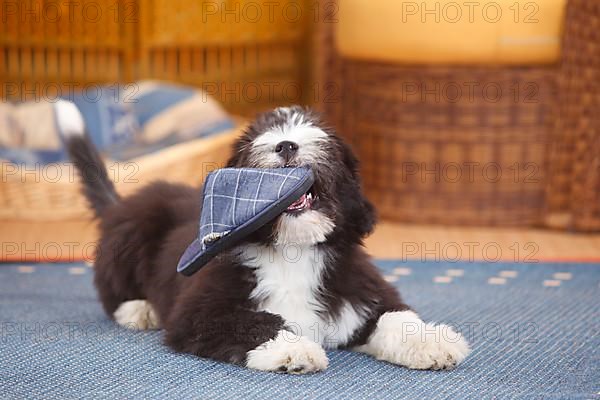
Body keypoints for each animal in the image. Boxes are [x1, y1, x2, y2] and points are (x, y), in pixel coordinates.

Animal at [62, 101, 474, 376]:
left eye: (316, 132)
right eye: (257, 138)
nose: (286, 145)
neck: (292, 249)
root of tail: (119, 206)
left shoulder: (362, 291)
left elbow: (395, 317)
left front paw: (431, 342)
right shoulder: (198, 311)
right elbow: (255, 321)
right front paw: (294, 350)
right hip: (134, 233)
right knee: (111, 291)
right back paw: (138, 310)